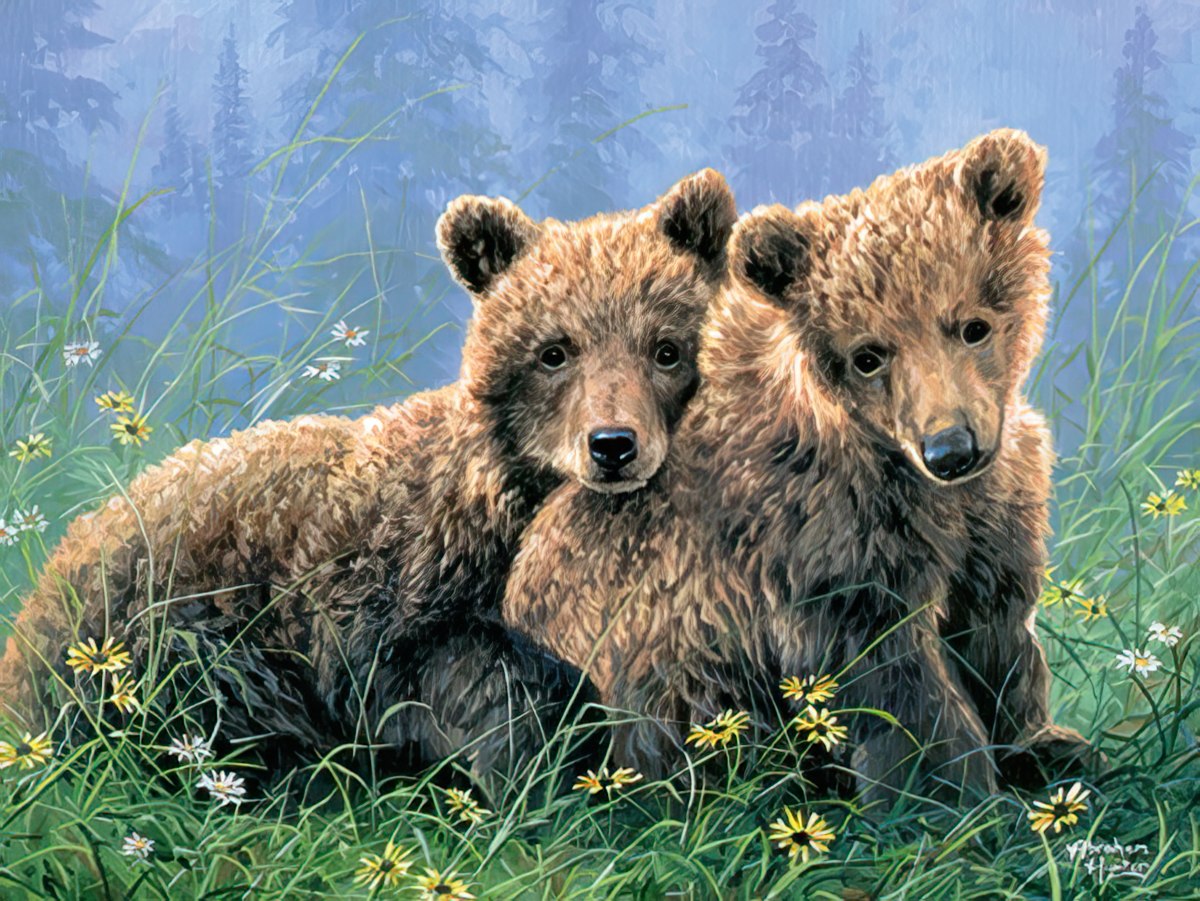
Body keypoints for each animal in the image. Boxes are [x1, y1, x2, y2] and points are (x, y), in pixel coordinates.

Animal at [0, 169, 738, 785]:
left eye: (666, 349)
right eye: (554, 352)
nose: (613, 444)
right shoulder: (382, 598)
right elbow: (466, 686)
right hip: (162, 630)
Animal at [503, 130, 1097, 807]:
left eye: (972, 325)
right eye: (868, 355)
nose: (950, 448)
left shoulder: (995, 517)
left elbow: (995, 630)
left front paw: (1043, 744)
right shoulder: (826, 544)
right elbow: (898, 675)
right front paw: (952, 792)